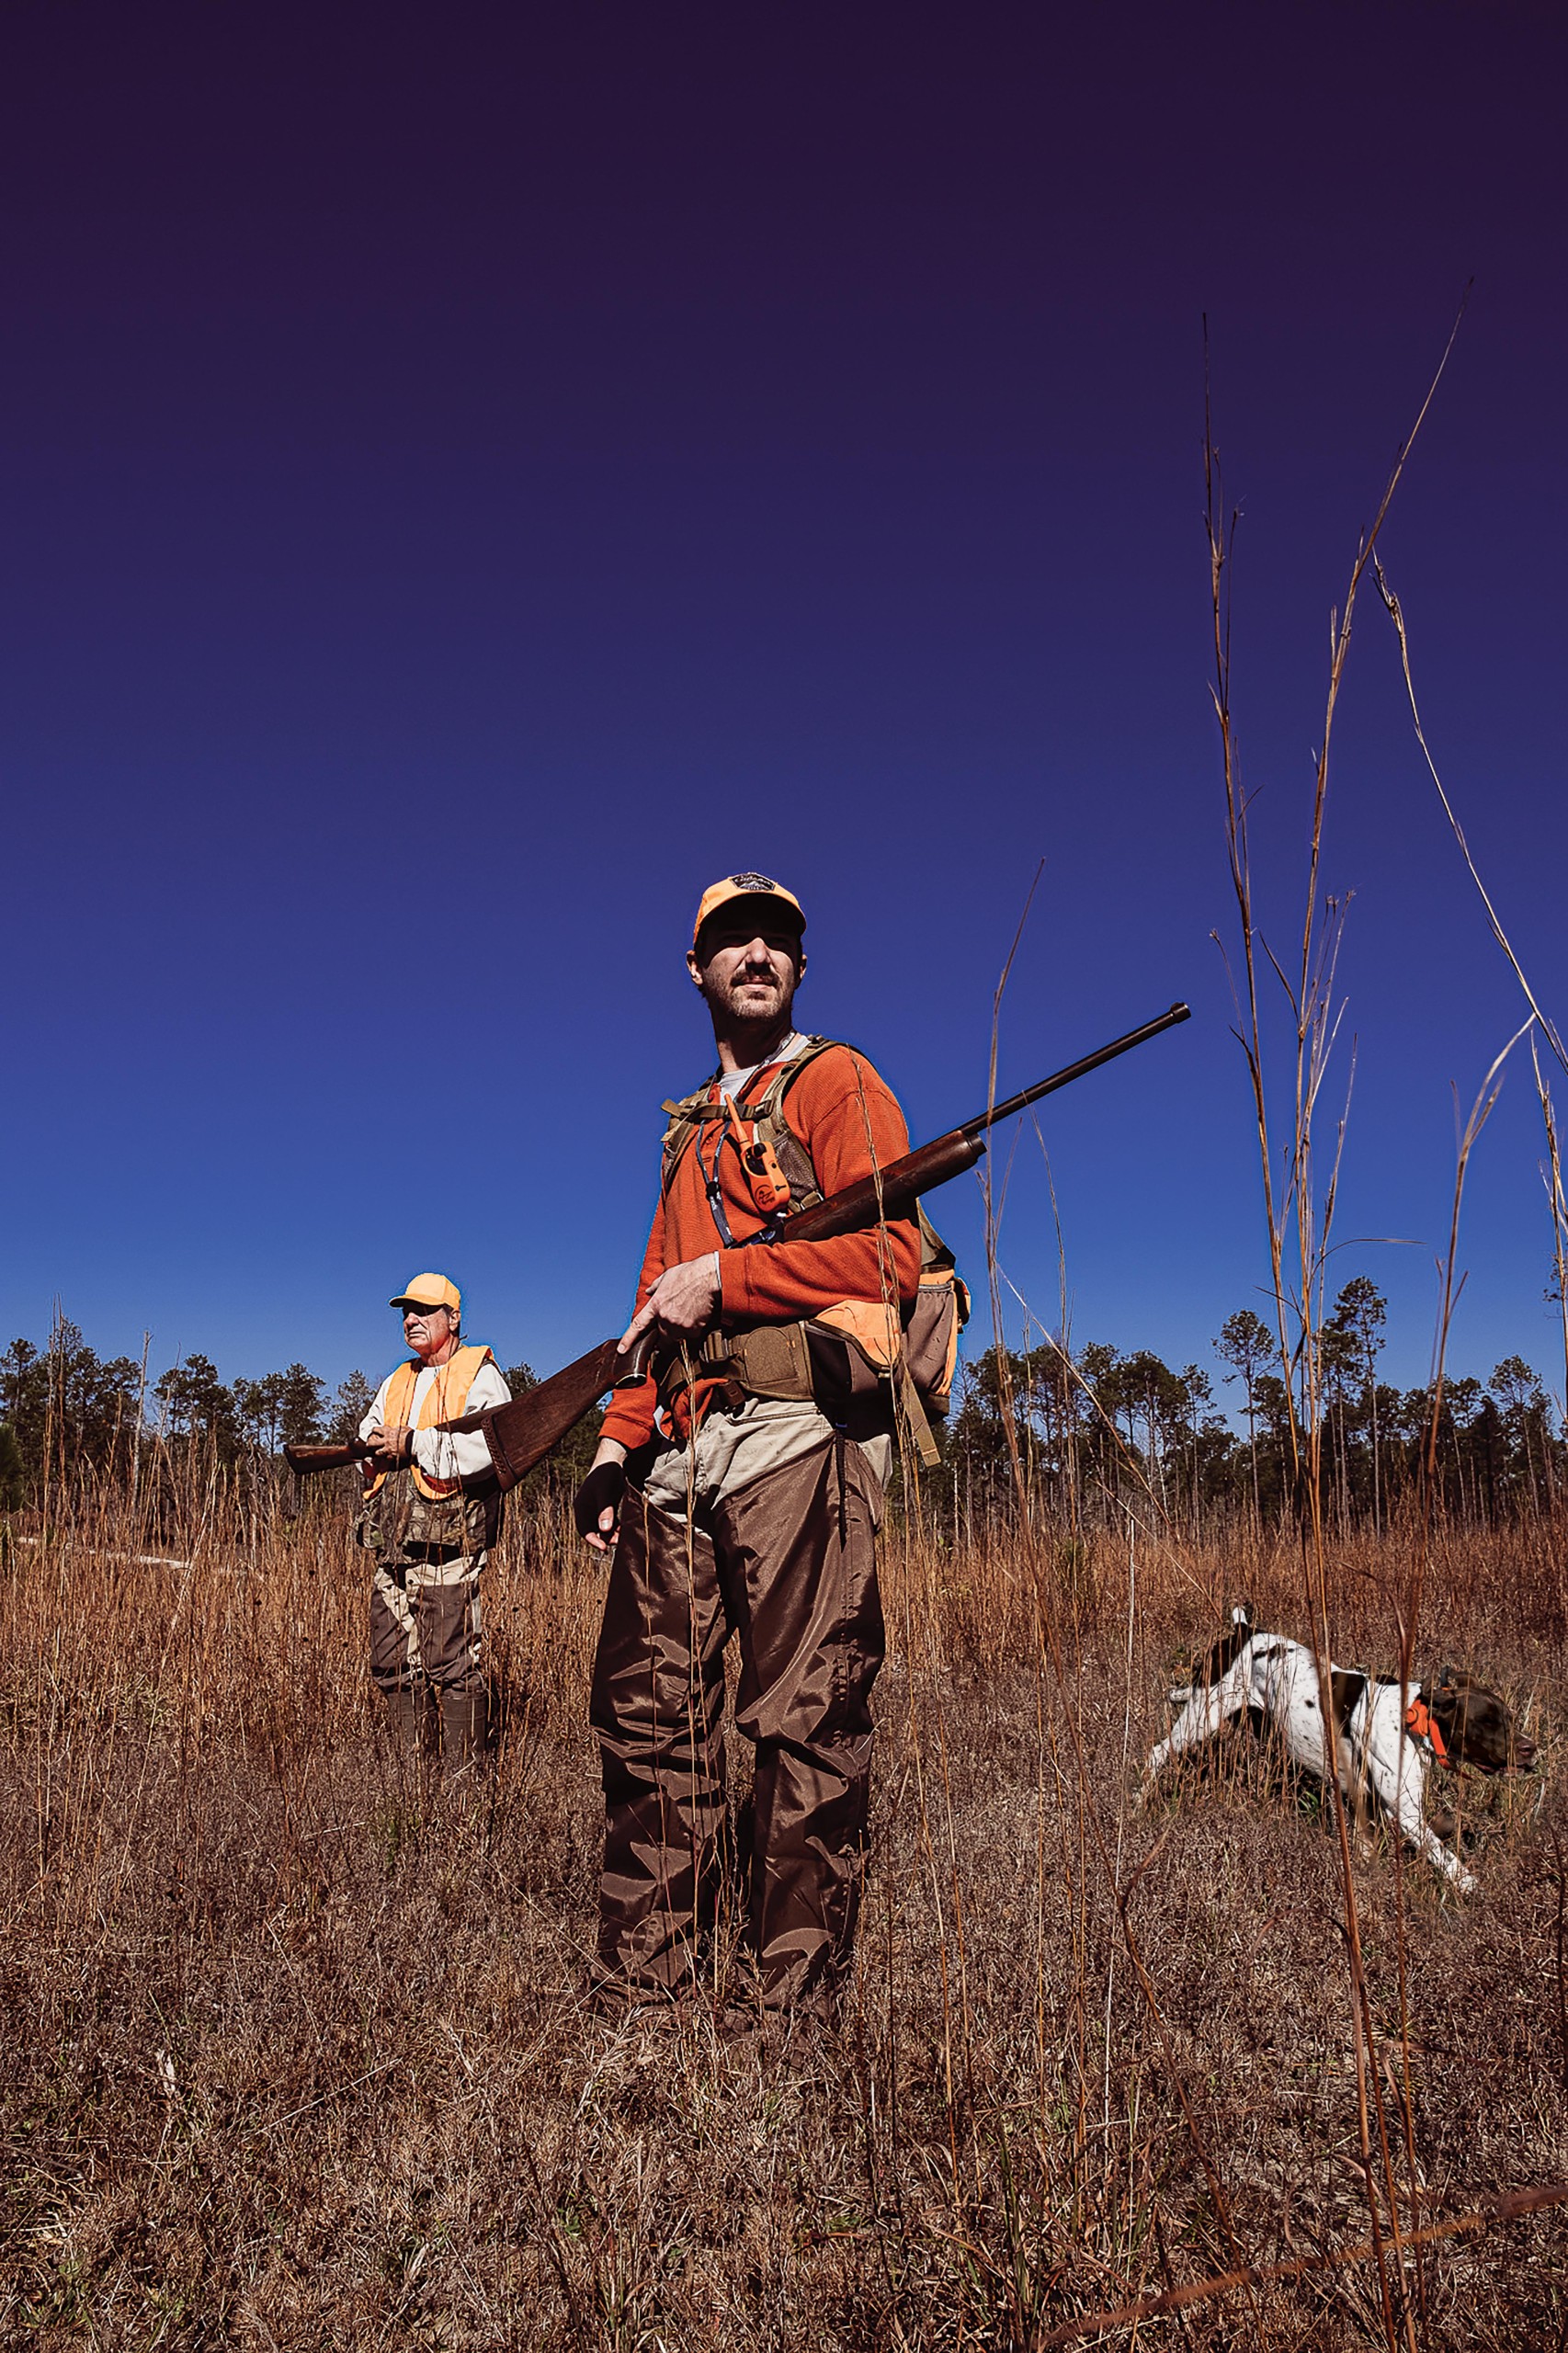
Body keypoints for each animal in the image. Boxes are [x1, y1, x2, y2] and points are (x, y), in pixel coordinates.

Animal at [1143, 1599, 1535, 1892]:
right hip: (1201, 1718)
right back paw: (1138, 1802)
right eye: (1487, 1722)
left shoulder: (1365, 1804)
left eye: (1510, 1717)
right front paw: (1474, 1890)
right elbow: (1450, 1862)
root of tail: (1243, 1630)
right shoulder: (1405, 1814)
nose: (1531, 1749)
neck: (1413, 1721)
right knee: (1156, 1754)